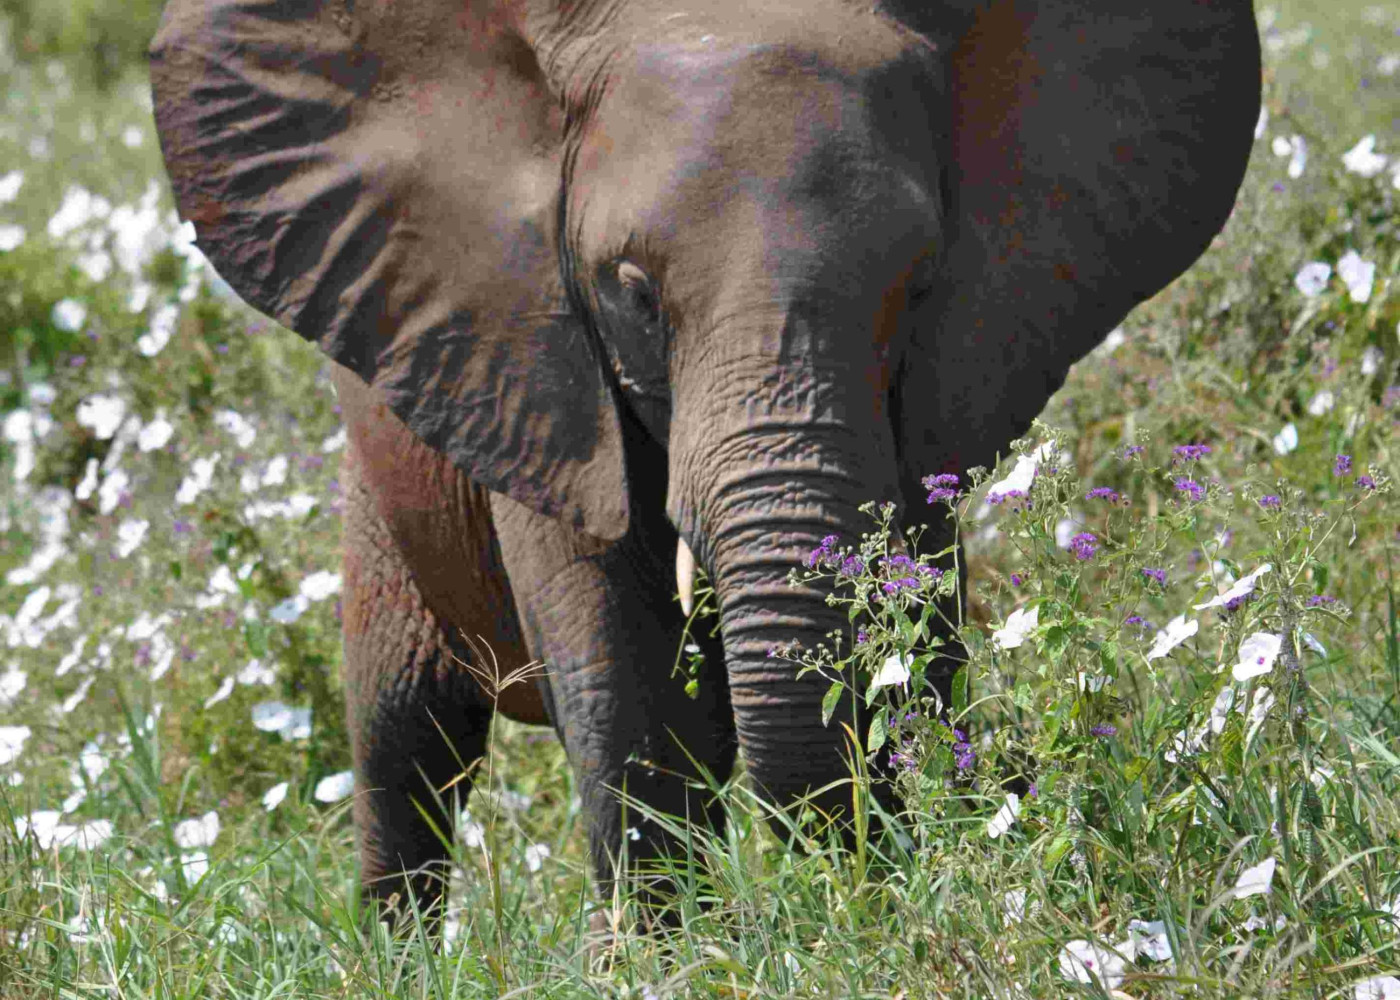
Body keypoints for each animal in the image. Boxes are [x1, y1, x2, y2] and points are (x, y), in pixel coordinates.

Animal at [147, 0, 1265, 918]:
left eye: (919, 284)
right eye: (633, 292)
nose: (848, 893)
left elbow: (915, 639)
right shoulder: (534, 361)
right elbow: (625, 696)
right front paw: (668, 963)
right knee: (402, 752)